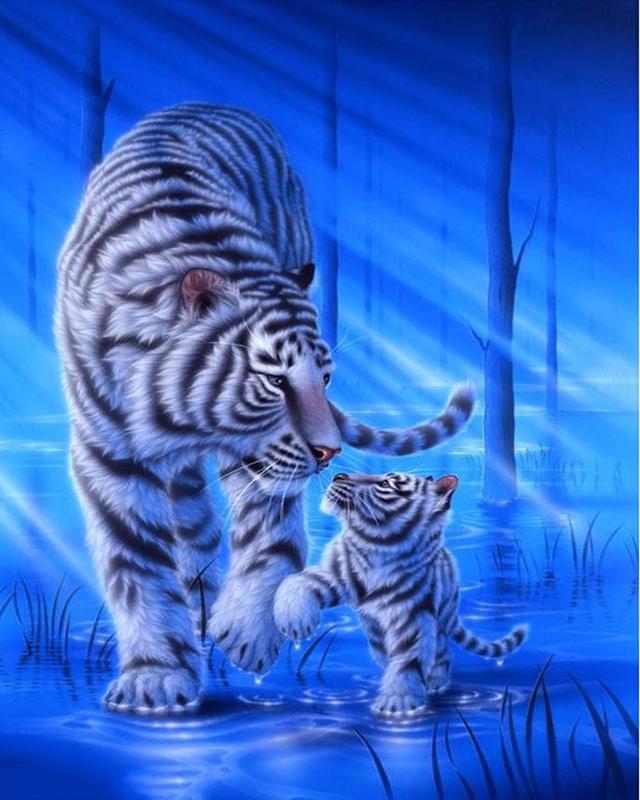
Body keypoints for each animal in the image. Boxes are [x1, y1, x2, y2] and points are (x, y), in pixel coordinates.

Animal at [55, 103, 475, 714]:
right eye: (275, 380)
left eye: (325, 378)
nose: (328, 452)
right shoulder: (108, 450)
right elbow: (136, 563)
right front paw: (155, 678)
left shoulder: (261, 459)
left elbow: (270, 535)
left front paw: (249, 633)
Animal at [274, 471, 527, 717]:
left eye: (386, 483)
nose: (339, 476)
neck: (376, 547)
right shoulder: (335, 576)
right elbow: (296, 582)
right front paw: (295, 623)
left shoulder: (412, 614)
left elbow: (408, 660)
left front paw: (398, 702)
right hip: (376, 633)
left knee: (441, 651)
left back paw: (435, 682)